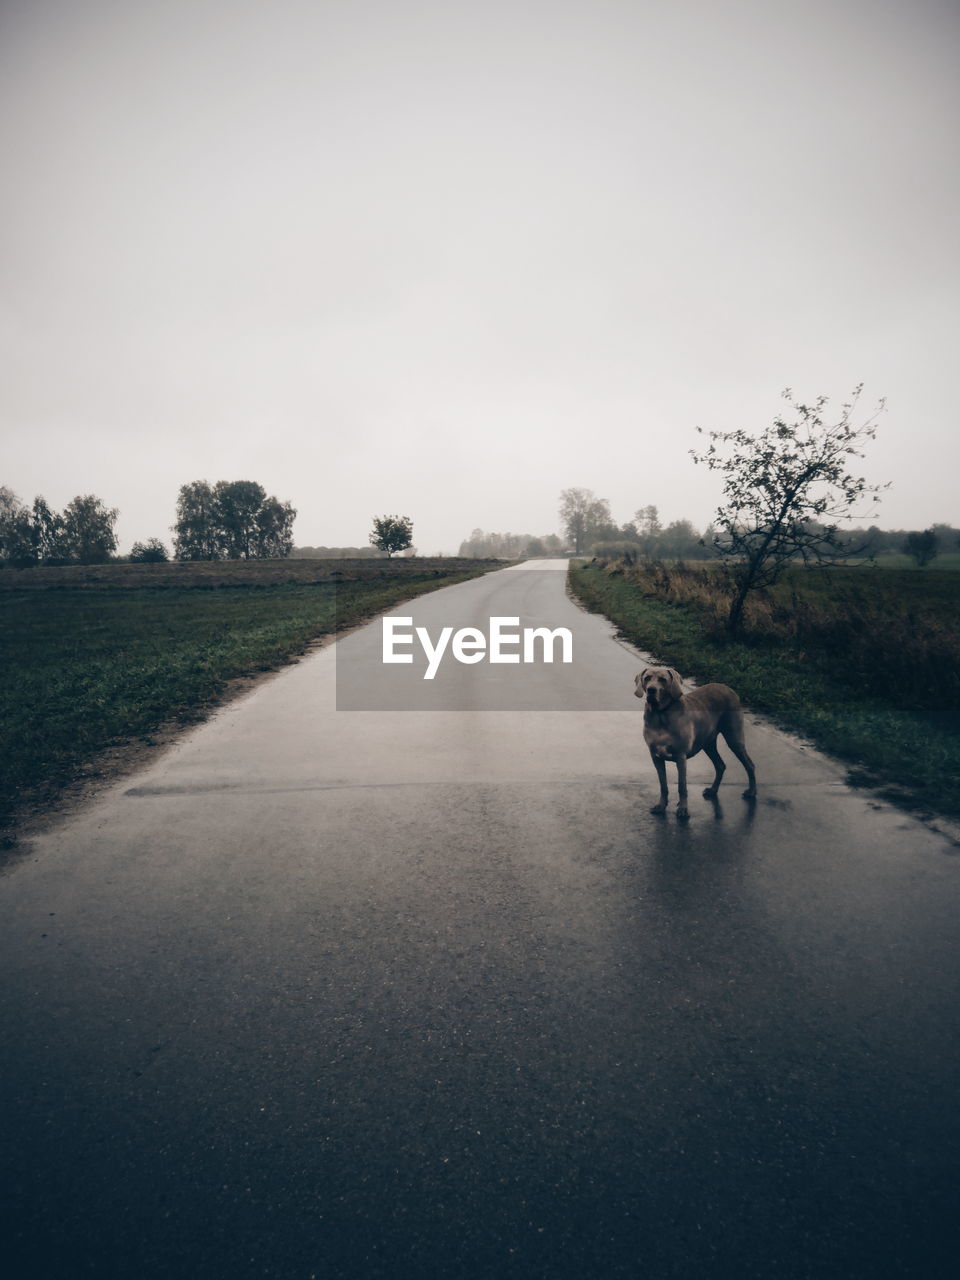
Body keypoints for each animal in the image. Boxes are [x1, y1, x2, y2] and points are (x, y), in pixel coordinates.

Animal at [634, 670, 762, 819]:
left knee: (749, 764)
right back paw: (713, 790)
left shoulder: (680, 757)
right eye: (647, 678)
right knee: (720, 765)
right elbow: (663, 784)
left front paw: (683, 809)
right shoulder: (656, 757)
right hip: (708, 743)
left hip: (734, 738)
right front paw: (661, 806)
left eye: (662, 679)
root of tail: (727, 687)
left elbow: (682, 786)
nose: (651, 690)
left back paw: (752, 791)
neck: (660, 715)